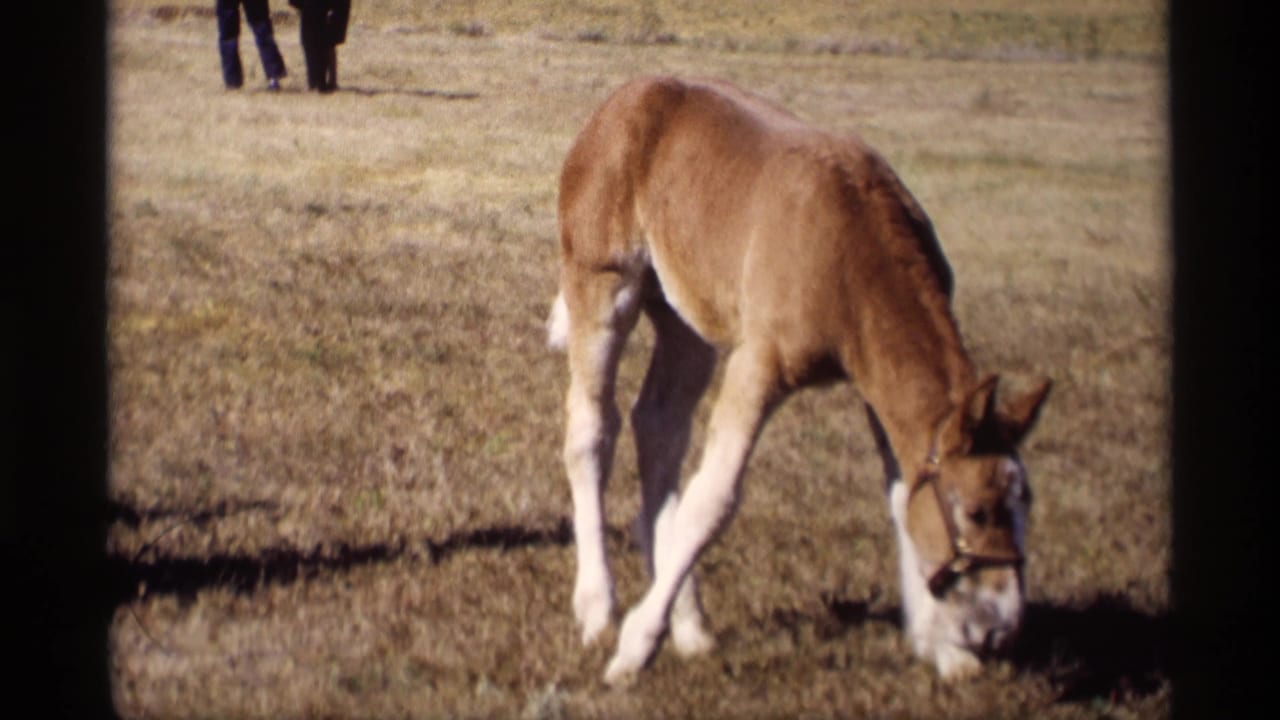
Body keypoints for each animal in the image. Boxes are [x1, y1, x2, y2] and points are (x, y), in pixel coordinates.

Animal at [546, 75, 1051, 685]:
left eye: (1026, 504)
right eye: (976, 511)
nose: (1001, 628)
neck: (850, 246)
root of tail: (620, 102)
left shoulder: (873, 384)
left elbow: (901, 492)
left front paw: (944, 650)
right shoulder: (758, 365)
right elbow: (713, 501)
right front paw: (633, 649)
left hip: (687, 322)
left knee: (659, 427)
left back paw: (689, 625)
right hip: (604, 284)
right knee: (592, 431)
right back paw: (599, 609)